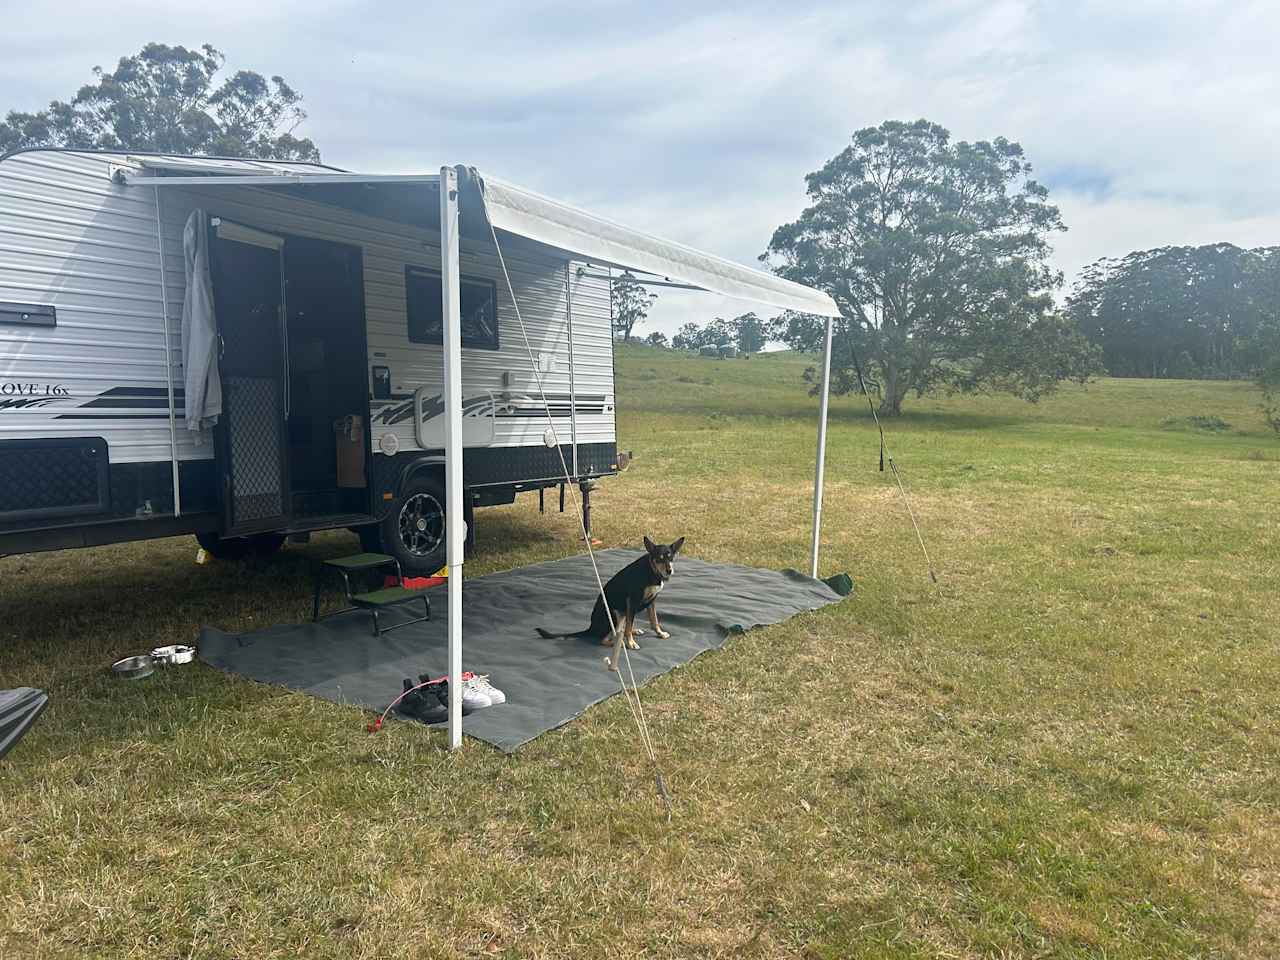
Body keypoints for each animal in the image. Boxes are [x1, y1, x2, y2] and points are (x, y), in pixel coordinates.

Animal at [535, 537, 686, 650]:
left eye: (671, 558)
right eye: (659, 558)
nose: (669, 571)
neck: (652, 570)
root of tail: (591, 628)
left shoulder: (652, 601)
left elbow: (654, 621)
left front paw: (660, 633)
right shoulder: (633, 601)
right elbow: (631, 627)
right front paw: (631, 643)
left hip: (623, 613)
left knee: (622, 629)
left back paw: (632, 632)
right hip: (615, 615)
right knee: (606, 639)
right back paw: (621, 643)